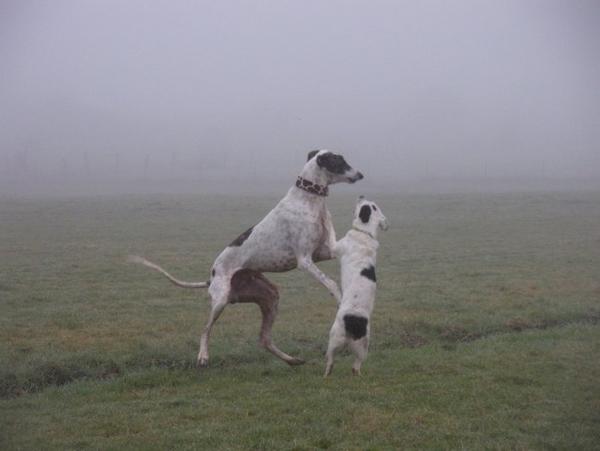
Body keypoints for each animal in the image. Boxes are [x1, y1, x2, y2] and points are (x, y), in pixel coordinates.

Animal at [324, 198, 390, 378]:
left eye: (369, 206)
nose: (361, 195)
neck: (365, 232)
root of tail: (355, 323)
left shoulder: (335, 247)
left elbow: (330, 230)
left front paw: (326, 216)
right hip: (363, 348)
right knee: (356, 366)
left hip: (334, 337)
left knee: (330, 360)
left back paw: (327, 373)